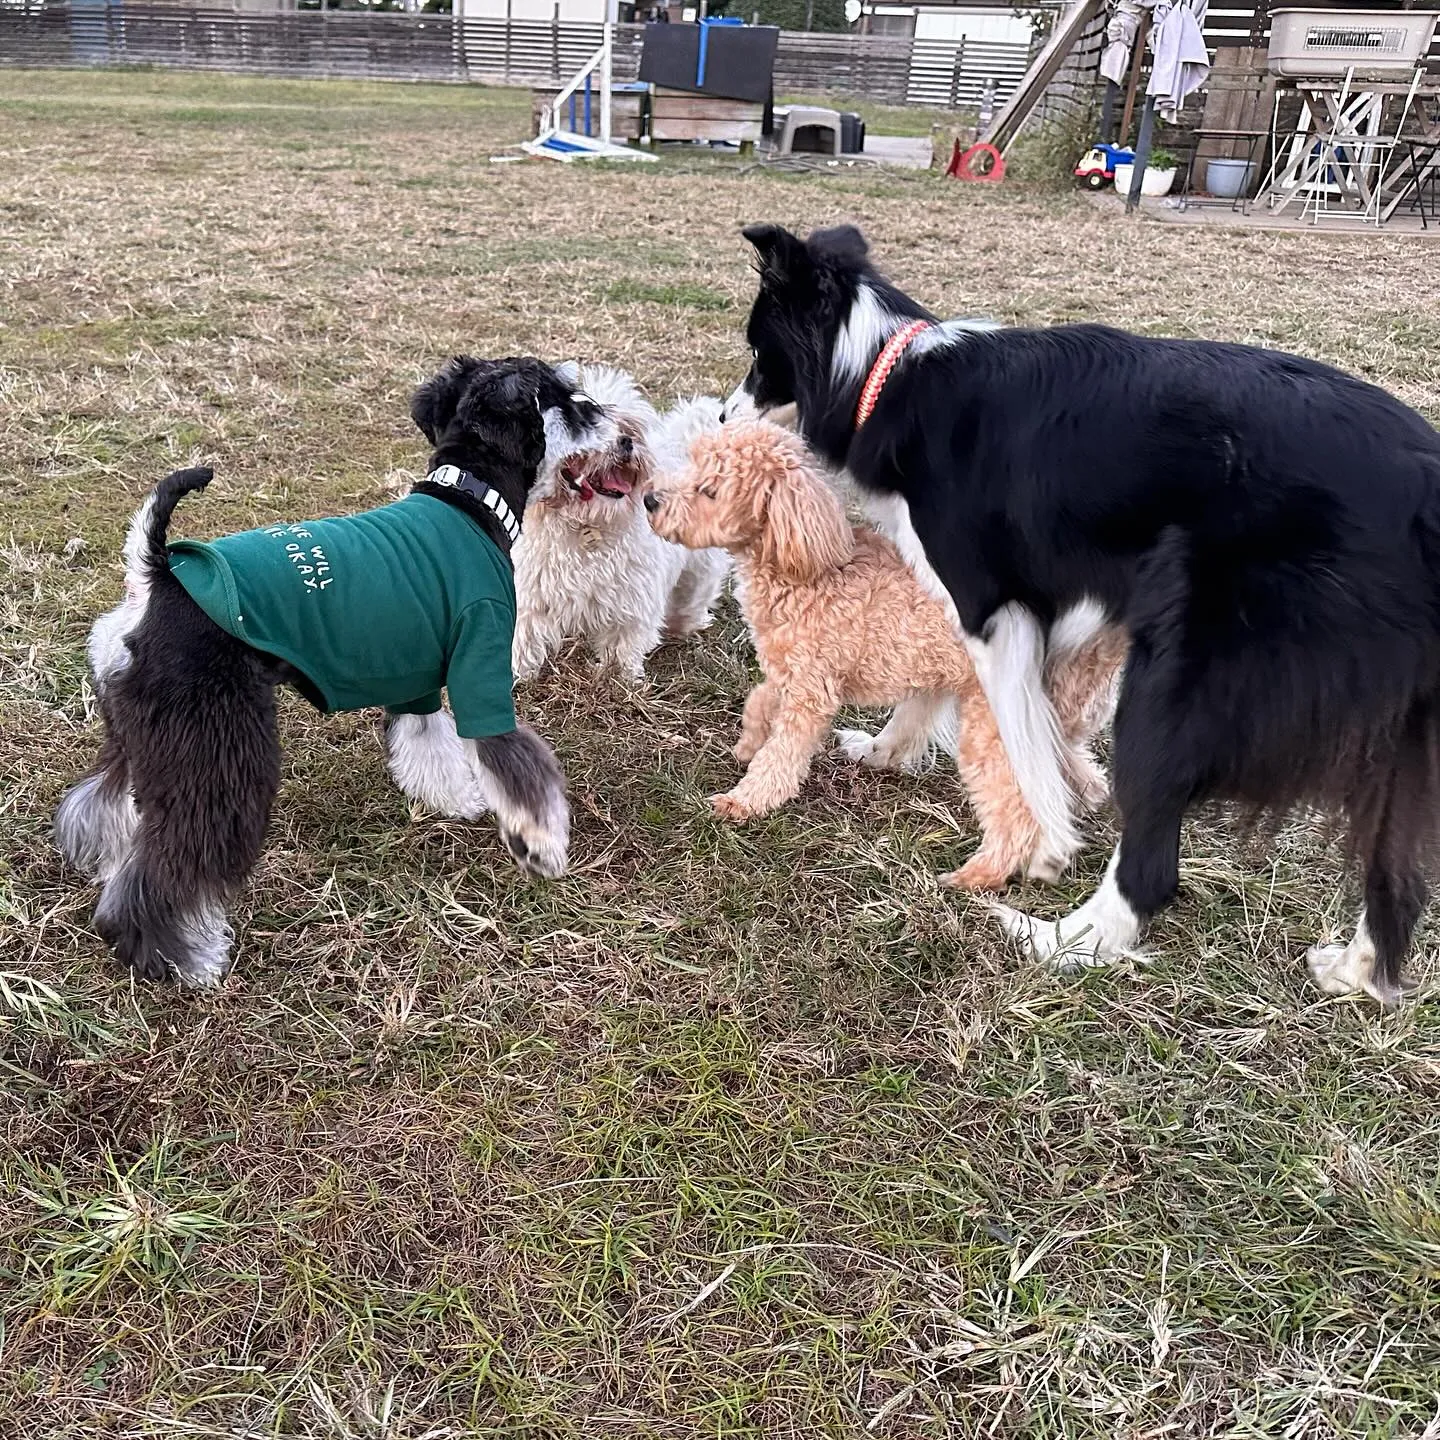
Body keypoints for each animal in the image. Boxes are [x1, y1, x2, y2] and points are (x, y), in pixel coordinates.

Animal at [56, 360, 630, 990]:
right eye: (575, 404)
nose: (625, 440)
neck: (471, 501)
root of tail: (154, 577)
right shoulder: (482, 668)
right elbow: (518, 769)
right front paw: (542, 847)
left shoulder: (418, 684)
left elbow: (429, 745)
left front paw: (456, 801)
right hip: (216, 753)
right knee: (175, 859)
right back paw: (182, 957)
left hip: (139, 735)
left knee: (99, 803)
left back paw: (103, 862)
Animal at [506, 362, 731, 682]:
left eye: (626, 429)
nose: (626, 442)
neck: (587, 524)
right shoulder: (531, 597)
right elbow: (523, 639)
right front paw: (517, 675)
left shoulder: (630, 606)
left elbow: (621, 647)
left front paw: (619, 680)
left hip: (699, 569)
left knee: (694, 597)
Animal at [725, 221, 1440, 1002]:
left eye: (758, 354)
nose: (724, 413)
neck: (891, 375)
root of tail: (1424, 490)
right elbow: (945, 701)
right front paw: (886, 752)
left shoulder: (995, 613)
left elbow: (1024, 743)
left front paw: (1043, 848)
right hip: (1394, 729)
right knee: (1396, 874)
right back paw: (1353, 970)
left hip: (1174, 685)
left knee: (1152, 867)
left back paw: (1057, 939)